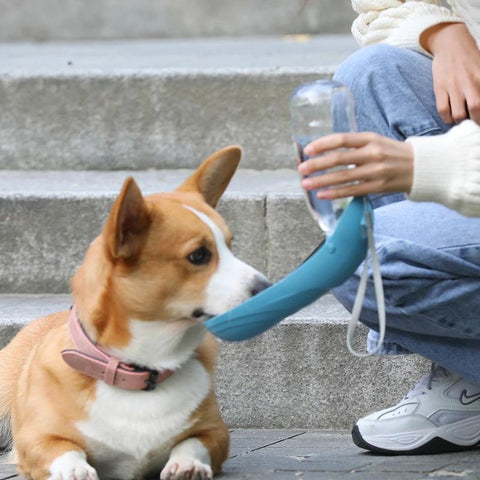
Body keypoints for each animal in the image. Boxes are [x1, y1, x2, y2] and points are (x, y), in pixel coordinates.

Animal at [0, 146, 270, 480]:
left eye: (230, 247)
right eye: (199, 255)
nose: (268, 286)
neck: (142, 368)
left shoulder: (215, 434)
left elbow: (193, 443)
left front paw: (187, 465)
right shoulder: (37, 439)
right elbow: (64, 450)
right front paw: (75, 470)